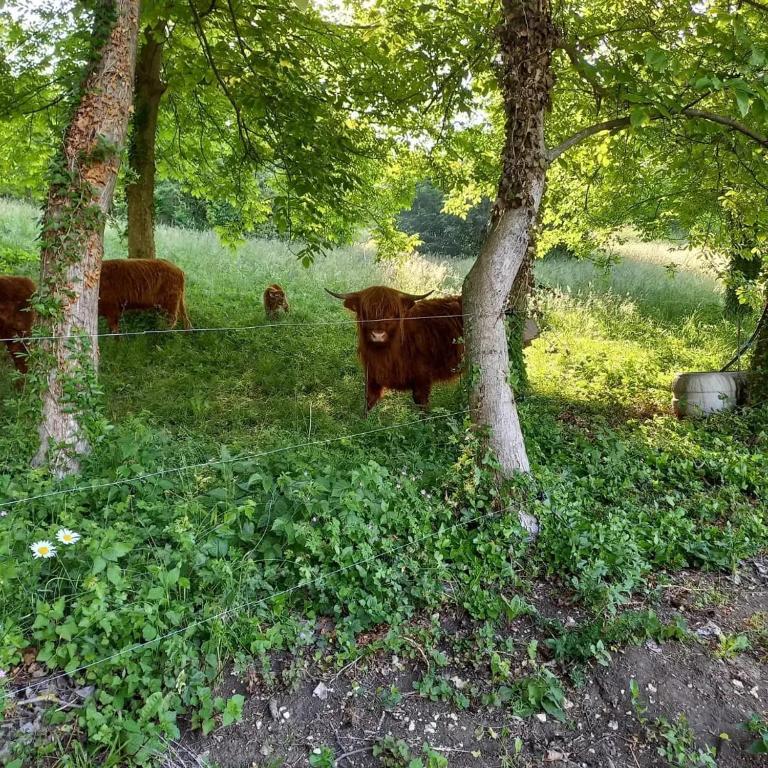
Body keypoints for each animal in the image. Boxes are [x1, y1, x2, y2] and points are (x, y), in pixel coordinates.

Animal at [324, 284, 462, 414]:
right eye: (367, 312)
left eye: (391, 313)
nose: (378, 335)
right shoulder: (372, 374)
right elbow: (368, 401)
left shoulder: (422, 377)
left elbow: (421, 404)